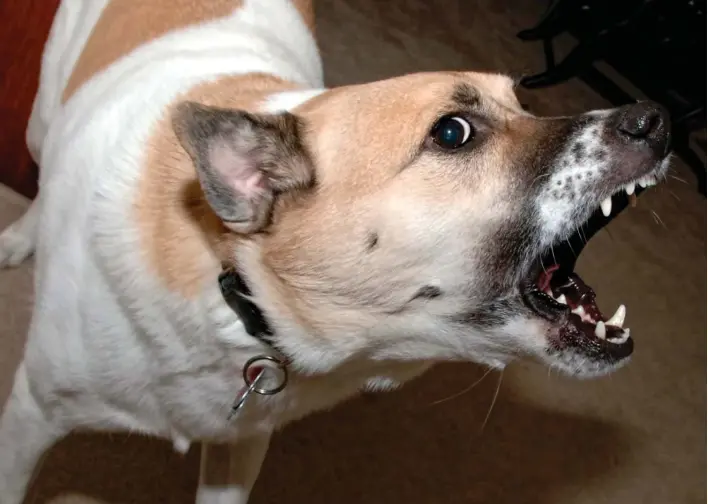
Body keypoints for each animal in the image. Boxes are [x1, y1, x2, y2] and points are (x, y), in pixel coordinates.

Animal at [0, 0, 668, 504]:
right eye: (453, 132)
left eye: (524, 104)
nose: (655, 119)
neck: (232, 277)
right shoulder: (32, 412)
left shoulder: (241, 444)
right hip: (38, 119)